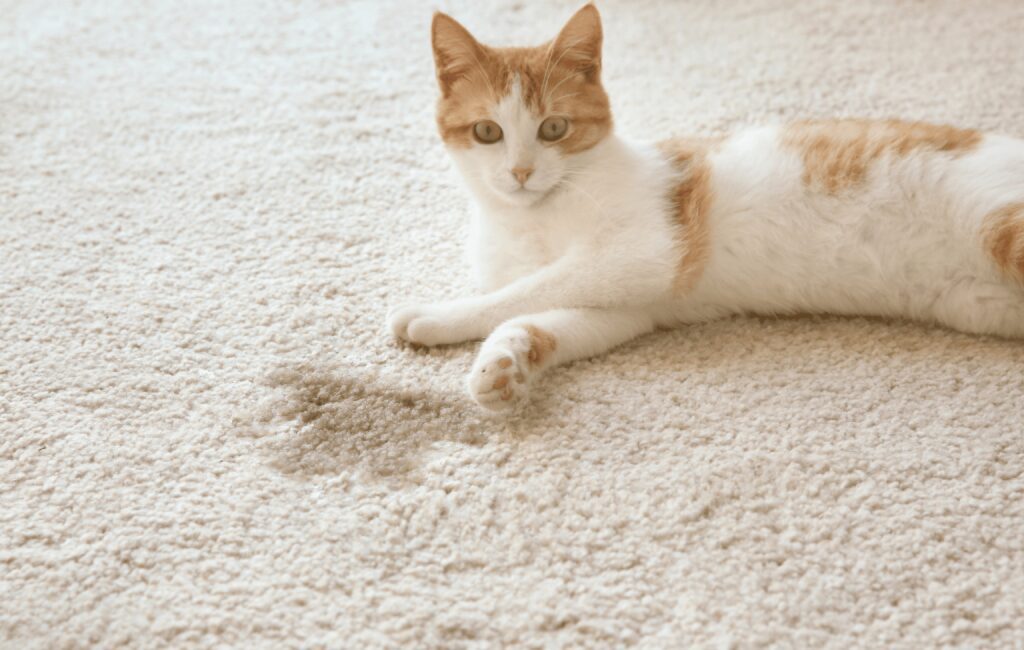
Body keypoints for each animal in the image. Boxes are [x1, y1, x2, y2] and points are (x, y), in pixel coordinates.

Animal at [385, 3, 1024, 411]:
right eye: (487, 131)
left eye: (554, 128)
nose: (520, 172)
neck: (529, 217)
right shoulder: (628, 307)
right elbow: (540, 318)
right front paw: (502, 367)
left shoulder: (645, 253)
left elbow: (522, 292)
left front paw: (435, 316)